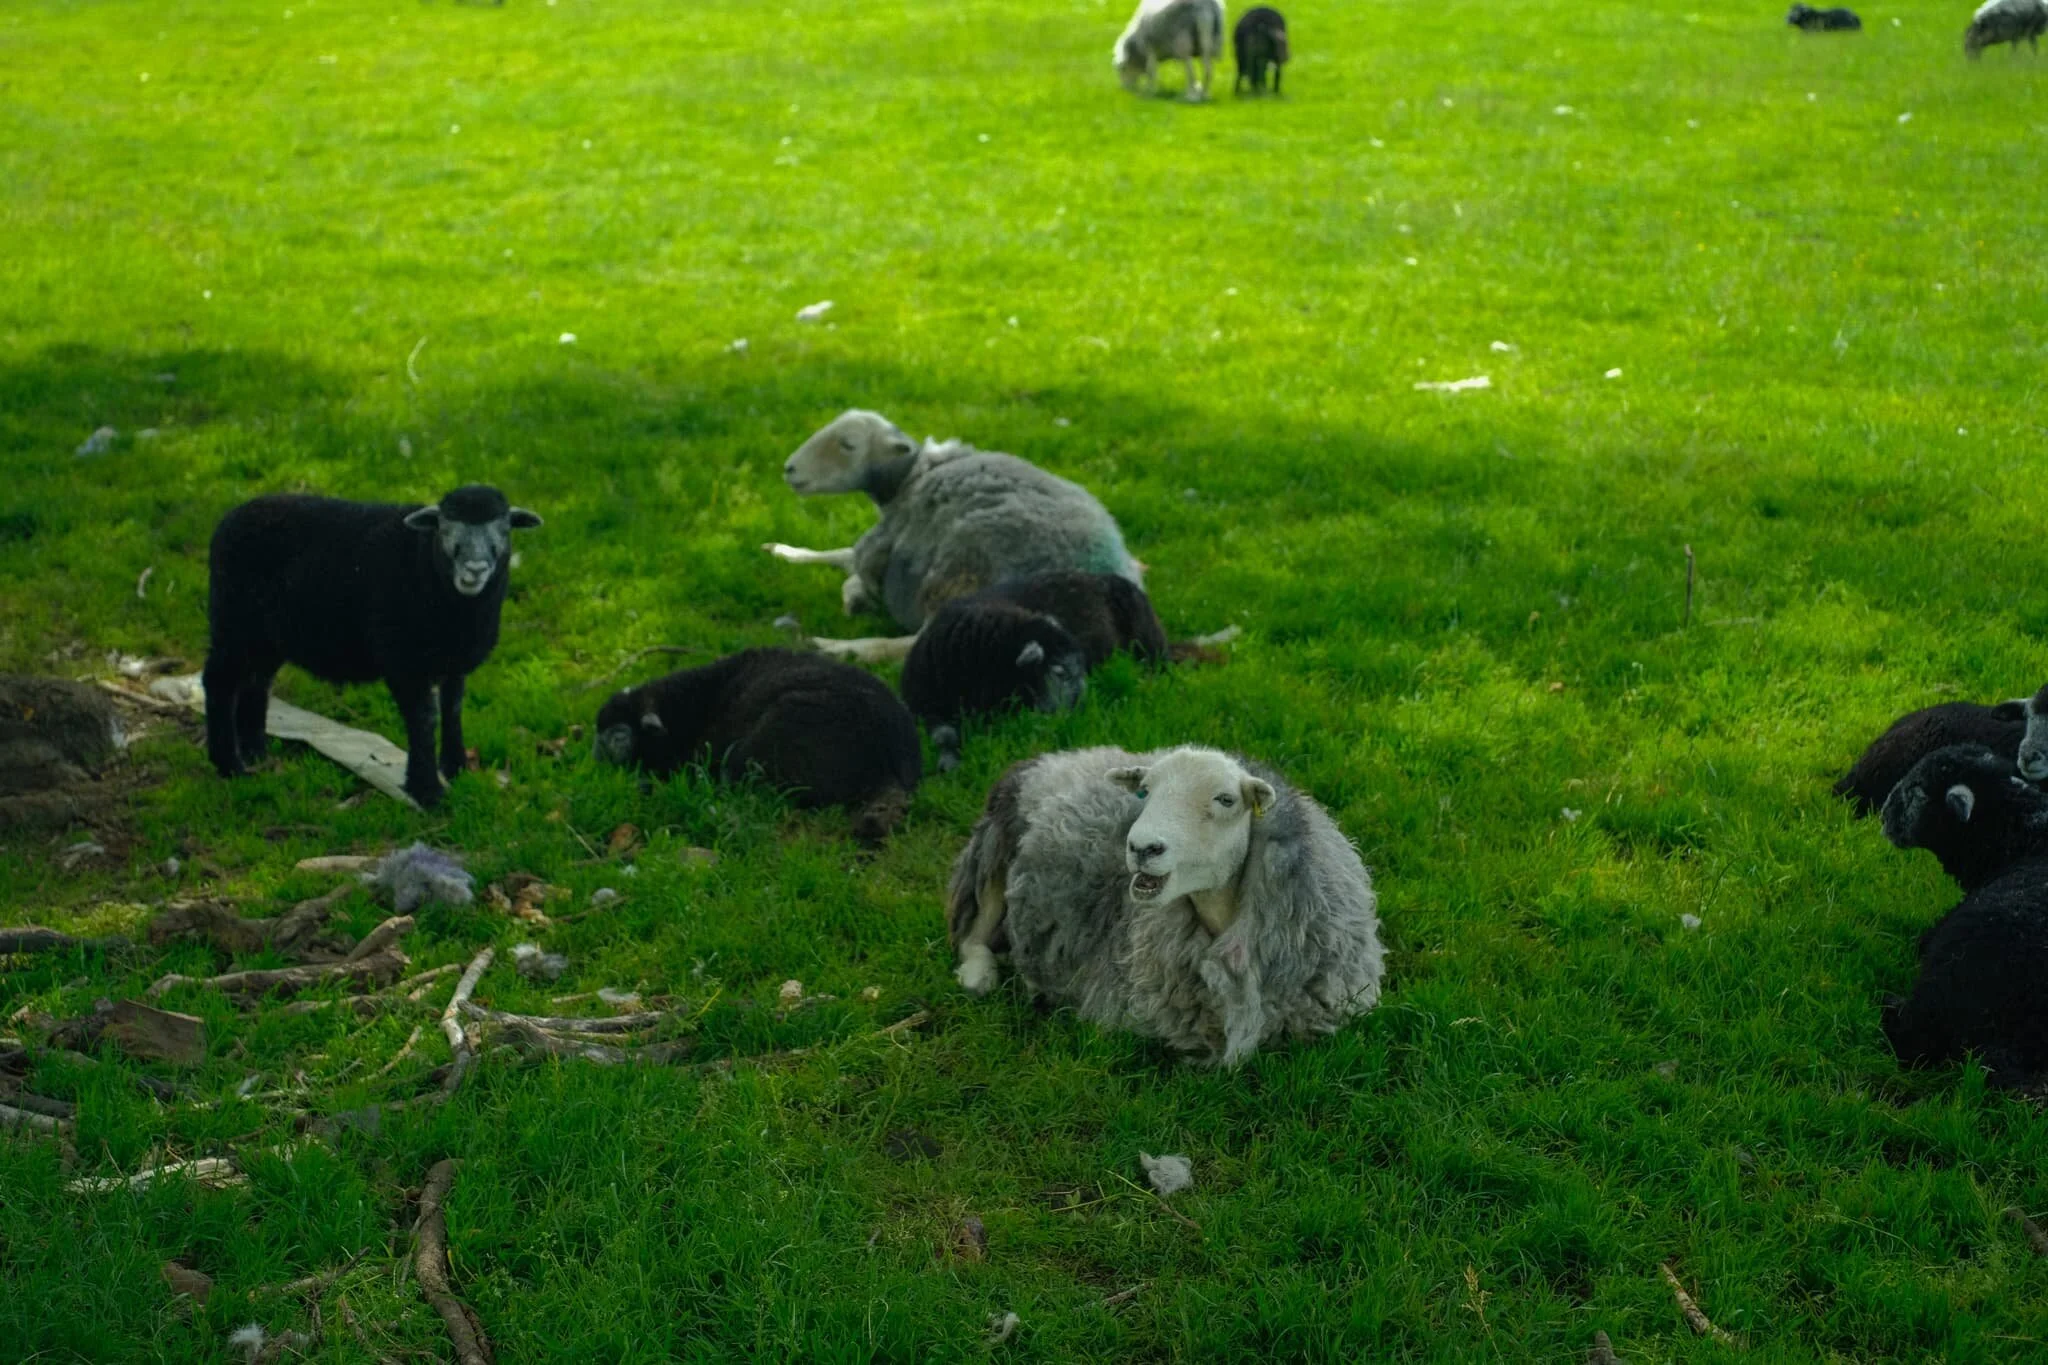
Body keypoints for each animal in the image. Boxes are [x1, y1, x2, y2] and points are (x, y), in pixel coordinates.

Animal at [203, 485, 541, 808]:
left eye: (504, 530)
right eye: (445, 530)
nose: (475, 569)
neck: (426, 568)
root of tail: (231, 517)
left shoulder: (453, 660)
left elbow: (453, 709)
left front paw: (456, 767)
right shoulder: (403, 661)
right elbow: (424, 719)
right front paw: (427, 790)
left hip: (265, 635)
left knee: (257, 681)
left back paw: (255, 750)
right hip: (232, 621)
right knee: (219, 682)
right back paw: (228, 764)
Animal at [762, 410, 1142, 664]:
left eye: (848, 444)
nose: (788, 468)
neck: (911, 478)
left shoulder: (885, 543)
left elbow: (850, 562)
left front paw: (853, 596)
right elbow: (838, 556)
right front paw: (782, 550)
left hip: (962, 579)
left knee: (908, 645)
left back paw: (836, 648)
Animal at [901, 572, 1169, 772]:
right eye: (1060, 672)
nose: (1083, 705)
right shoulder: (921, 707)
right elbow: (943, 734)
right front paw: (948, 761)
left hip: (1147, 640)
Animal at [947, 745, 1384, 1066]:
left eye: (1226, 799)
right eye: (1144, 790)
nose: (1142, 847)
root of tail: (1049, 759)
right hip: (995, 855)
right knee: (972, 936)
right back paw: (979, 976)